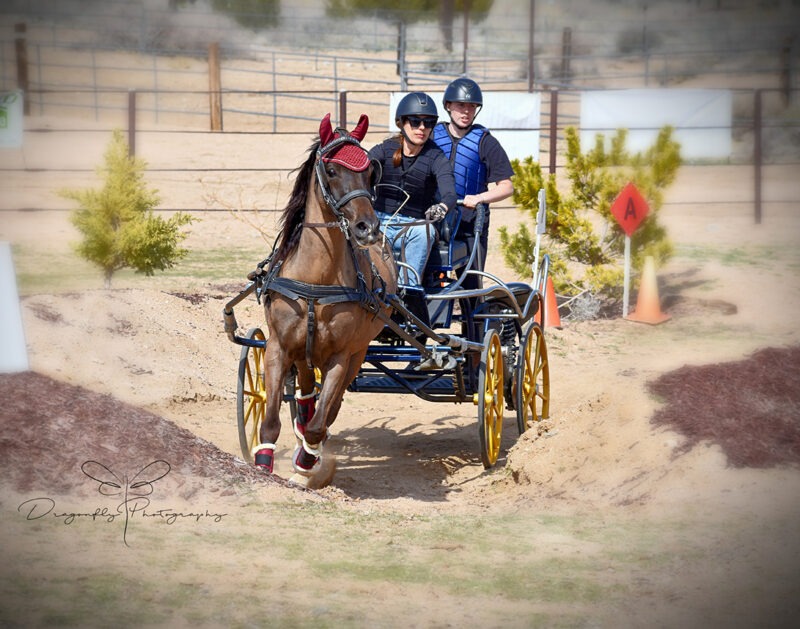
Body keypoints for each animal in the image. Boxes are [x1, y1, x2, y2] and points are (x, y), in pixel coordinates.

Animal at [253, 113, 396, 486]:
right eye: (331, 170)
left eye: (369, 172)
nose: (368, 228)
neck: (315, 280)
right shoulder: (278, 347)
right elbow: (270, 420)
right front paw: (262, 463)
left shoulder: (341, 357)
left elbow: (321, 424)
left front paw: (306, 465)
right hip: (304, 349)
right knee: (305, 391)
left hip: (358, 353)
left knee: (329, 409)